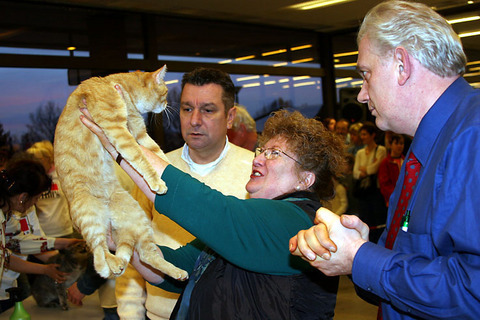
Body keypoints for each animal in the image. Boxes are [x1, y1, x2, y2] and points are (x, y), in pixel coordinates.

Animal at [53, 65, 188, 280]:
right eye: (166, 92)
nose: (167, 104)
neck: (118, 86)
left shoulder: (139, 132)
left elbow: (158, 154)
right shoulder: (118, 129)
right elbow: (139, 157)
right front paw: (157, 181)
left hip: (137, 219)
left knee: (145, 255)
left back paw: (174, 271)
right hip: (90, 214)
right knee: (98, 252)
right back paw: (111, 265)